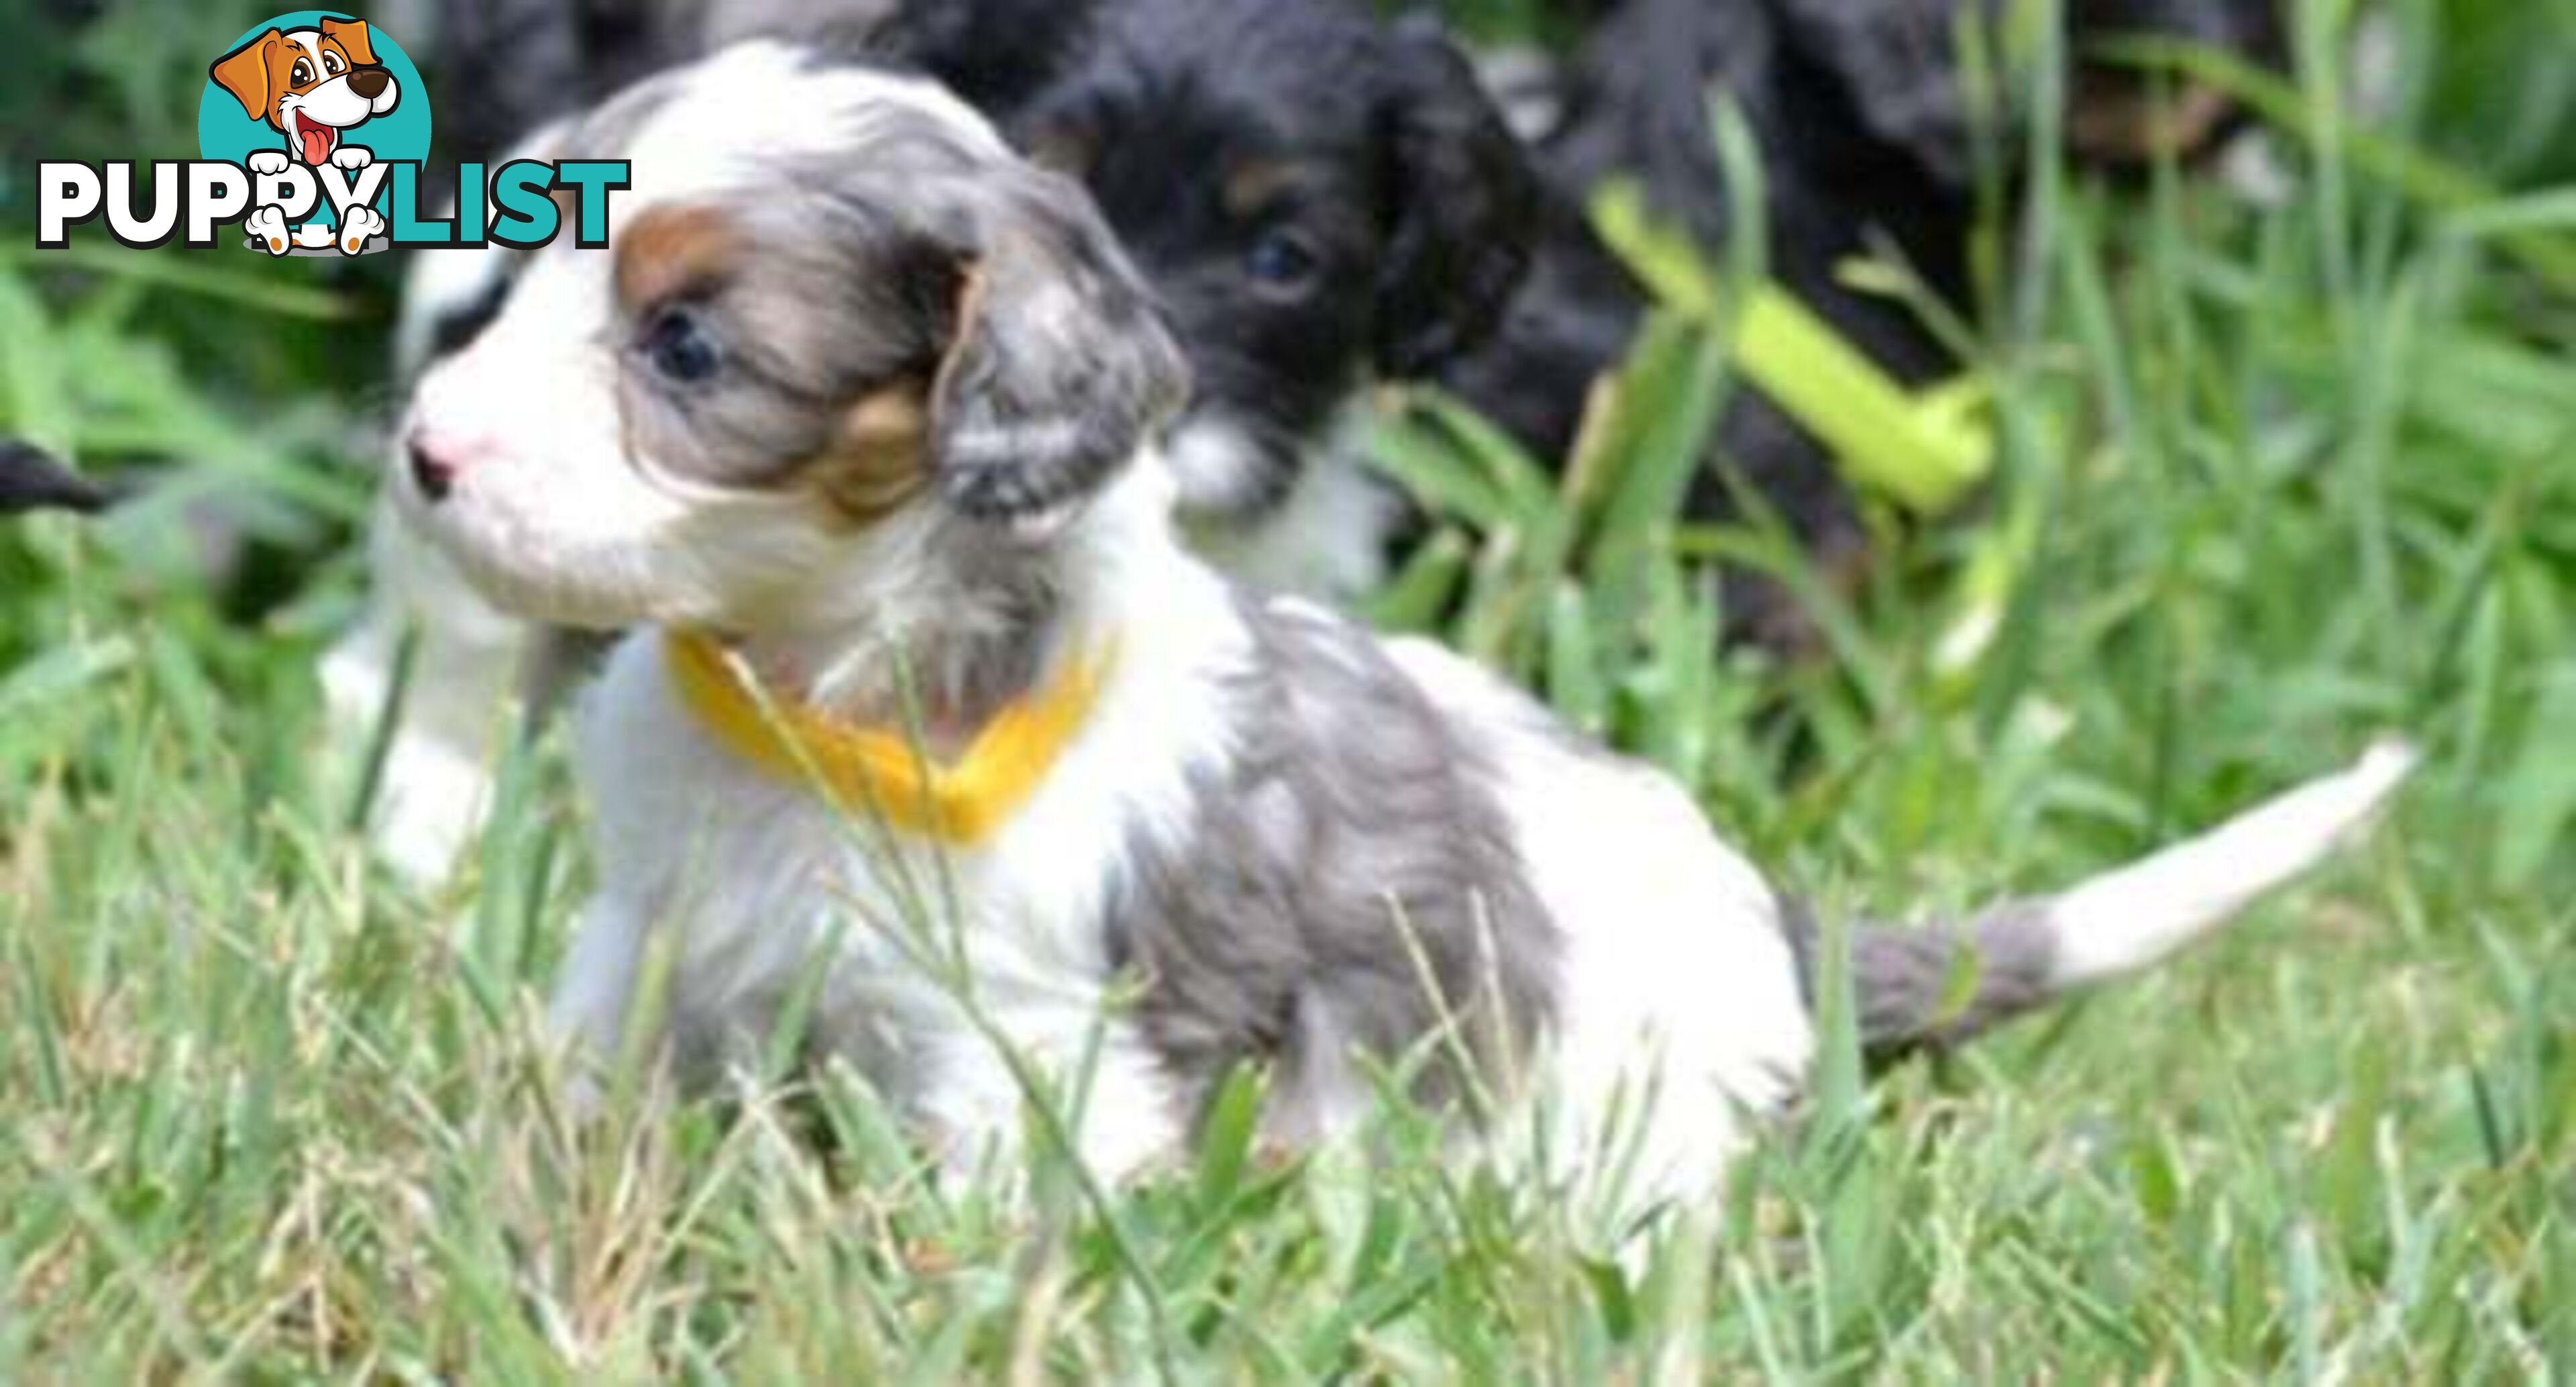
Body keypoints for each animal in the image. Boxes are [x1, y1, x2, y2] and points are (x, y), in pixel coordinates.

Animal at [391, 43, 2400, 1206]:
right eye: (530, 268)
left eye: (687, 351)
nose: (424, 454)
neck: (810, 701)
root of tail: (1782, 927)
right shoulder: (651, 933)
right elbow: (580, 1083)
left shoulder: (1026, 1049)